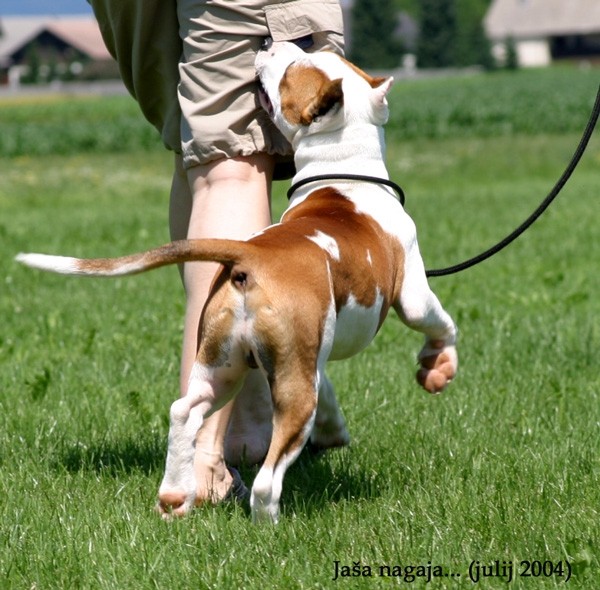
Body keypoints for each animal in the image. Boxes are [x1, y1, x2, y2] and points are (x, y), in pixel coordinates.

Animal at [15, 44, 460, 524]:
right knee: (268, 475)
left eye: (293, 67)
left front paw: (334, 427)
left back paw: (176, 494)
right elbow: (439, 322)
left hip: (222, 361)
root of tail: (252, 255)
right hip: (292, 391)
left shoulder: (312, 351)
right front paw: (438, 366)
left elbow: (329, 384)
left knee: (184, 411)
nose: (271, 45)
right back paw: (269, 522)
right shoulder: (412, 291)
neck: (342, 174)